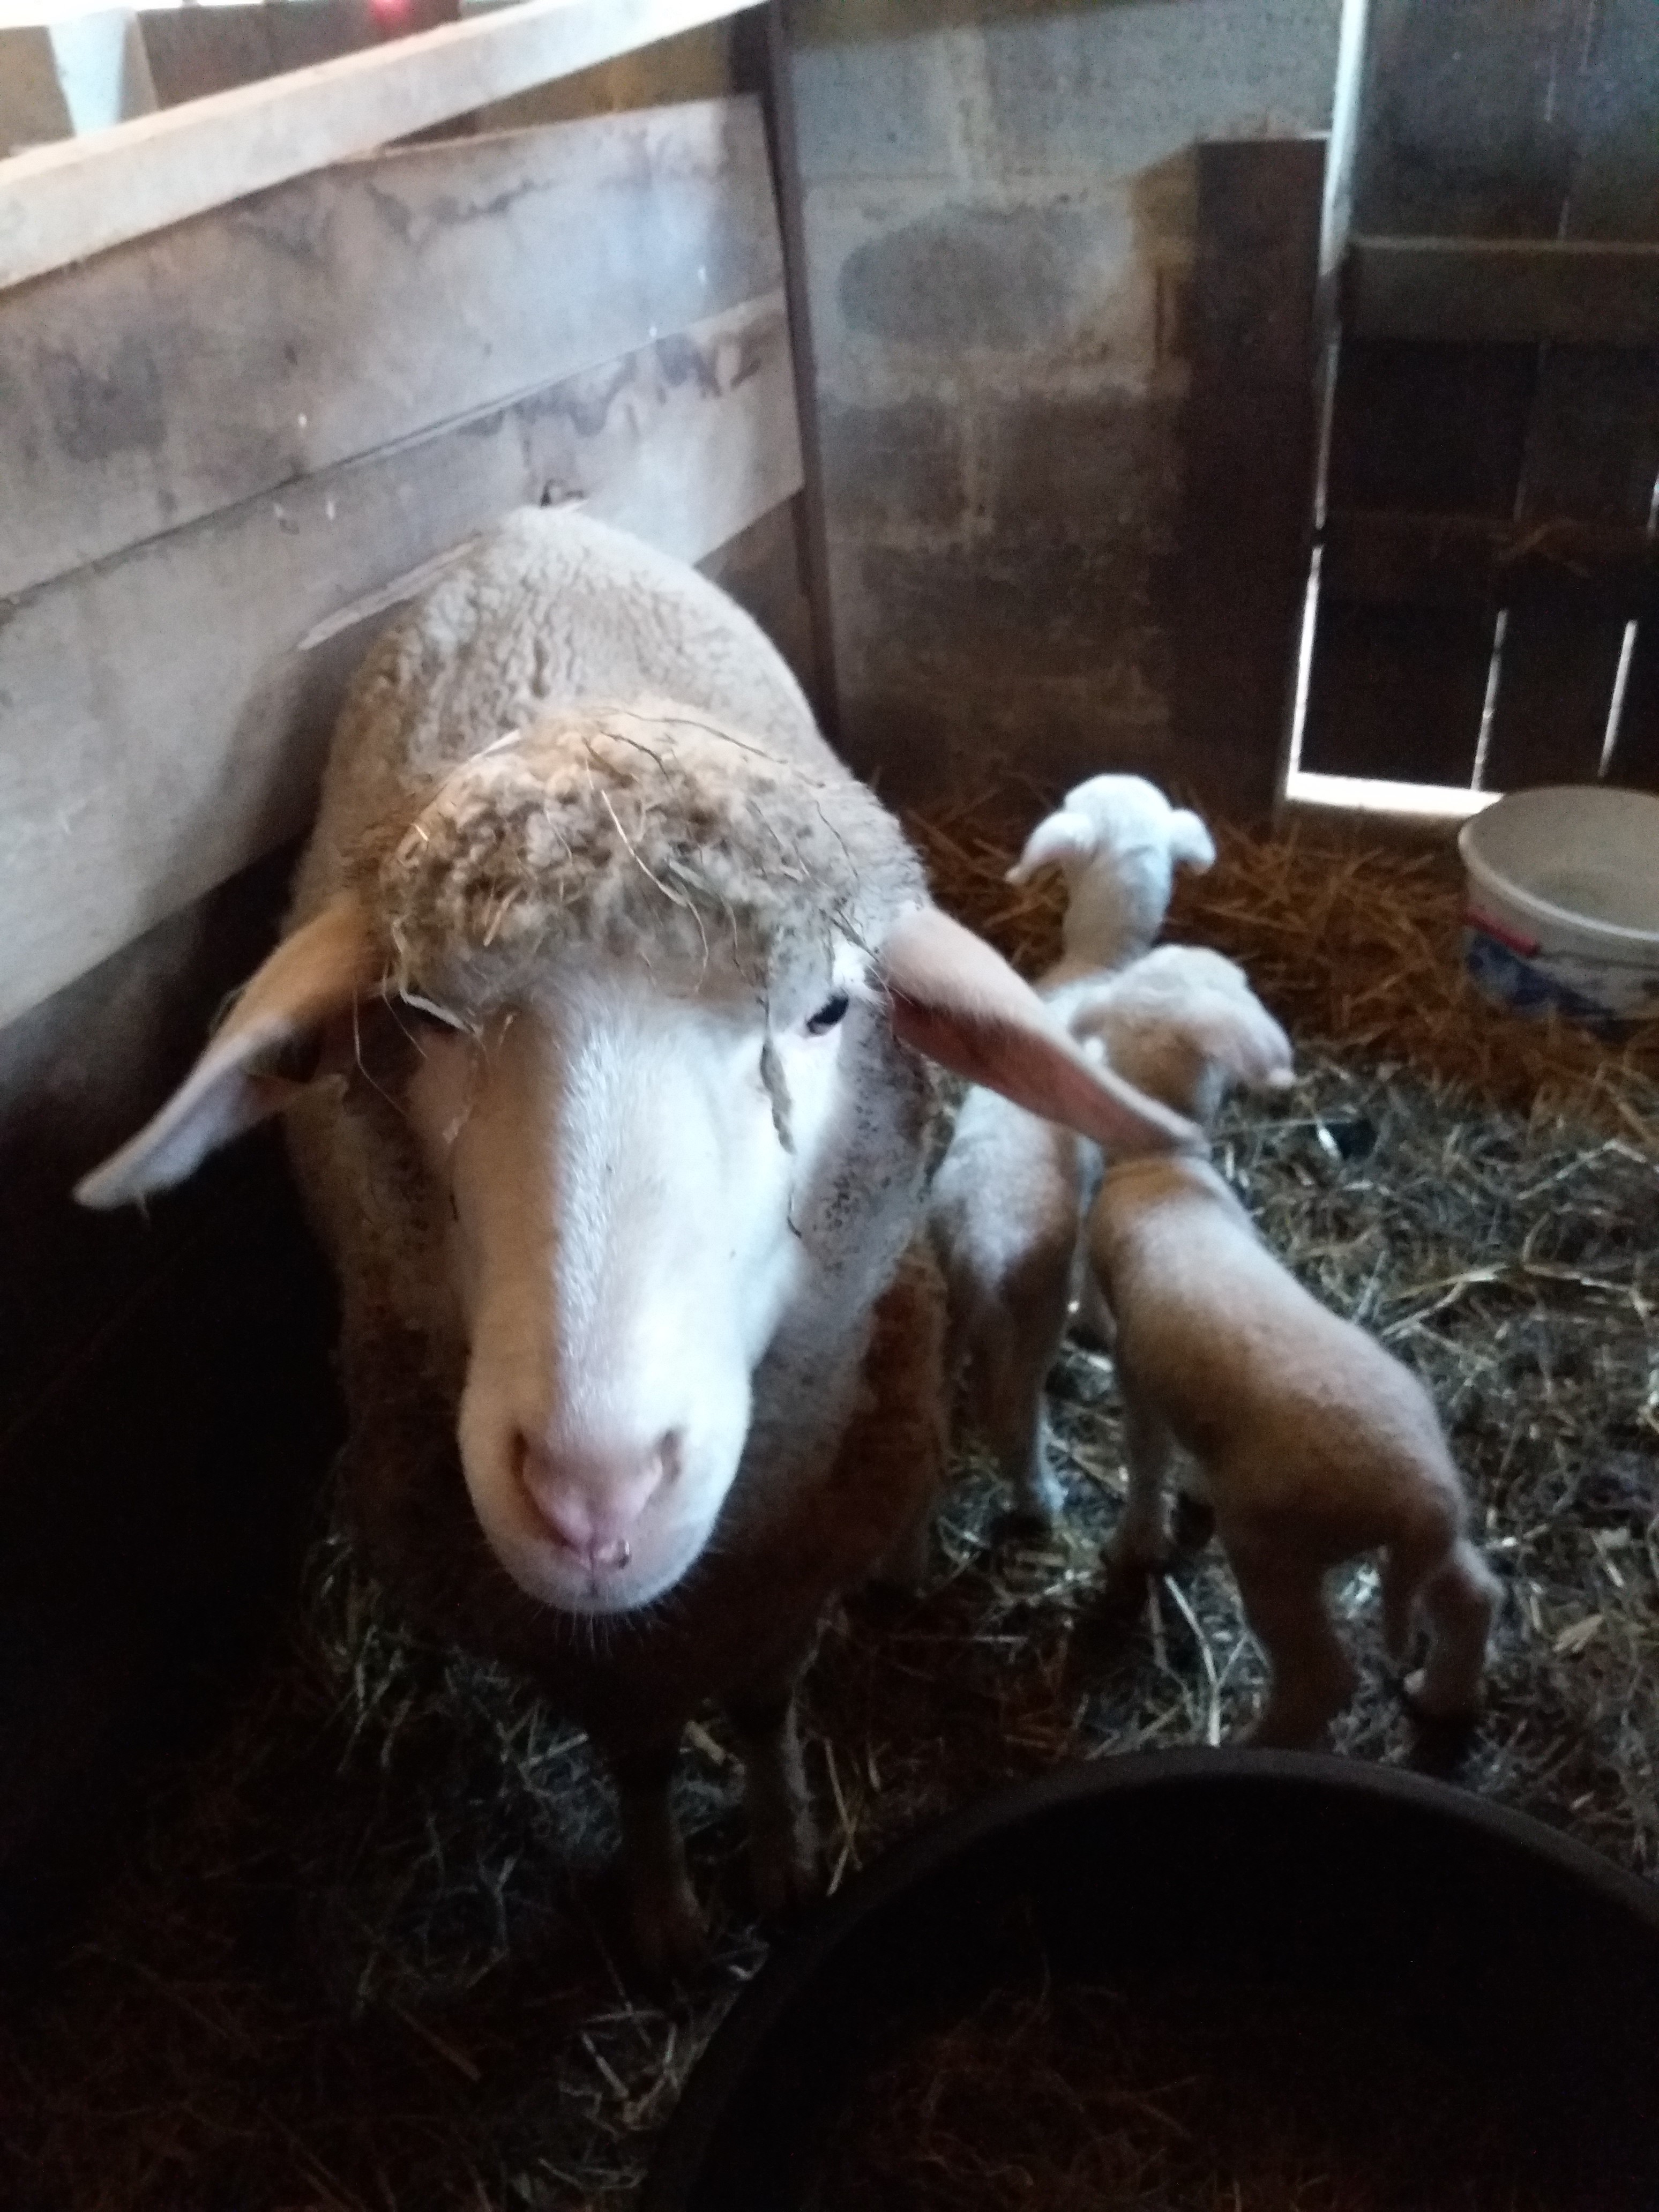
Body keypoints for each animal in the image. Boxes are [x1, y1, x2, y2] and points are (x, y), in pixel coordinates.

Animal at [929, 774, 1212, 1522]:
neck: (1098, 964)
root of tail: (980, 1252)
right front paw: (1101, 1321)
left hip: (953, 1289)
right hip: (1033, 1305)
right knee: (1015, 1409)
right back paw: (1040, 1496)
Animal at [1079, 946, 1504, 1743]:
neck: (1166, 1164)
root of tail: (1419, 1491)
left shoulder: (1136, 1372)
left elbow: (1145, 1461)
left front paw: (1134, 1544)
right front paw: (1193, 1487)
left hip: (1274, 1546)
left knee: (1323, 1679)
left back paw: (1256, 1740)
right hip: (1435, 1529)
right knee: (1476, 1596)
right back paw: (1440, 1695)